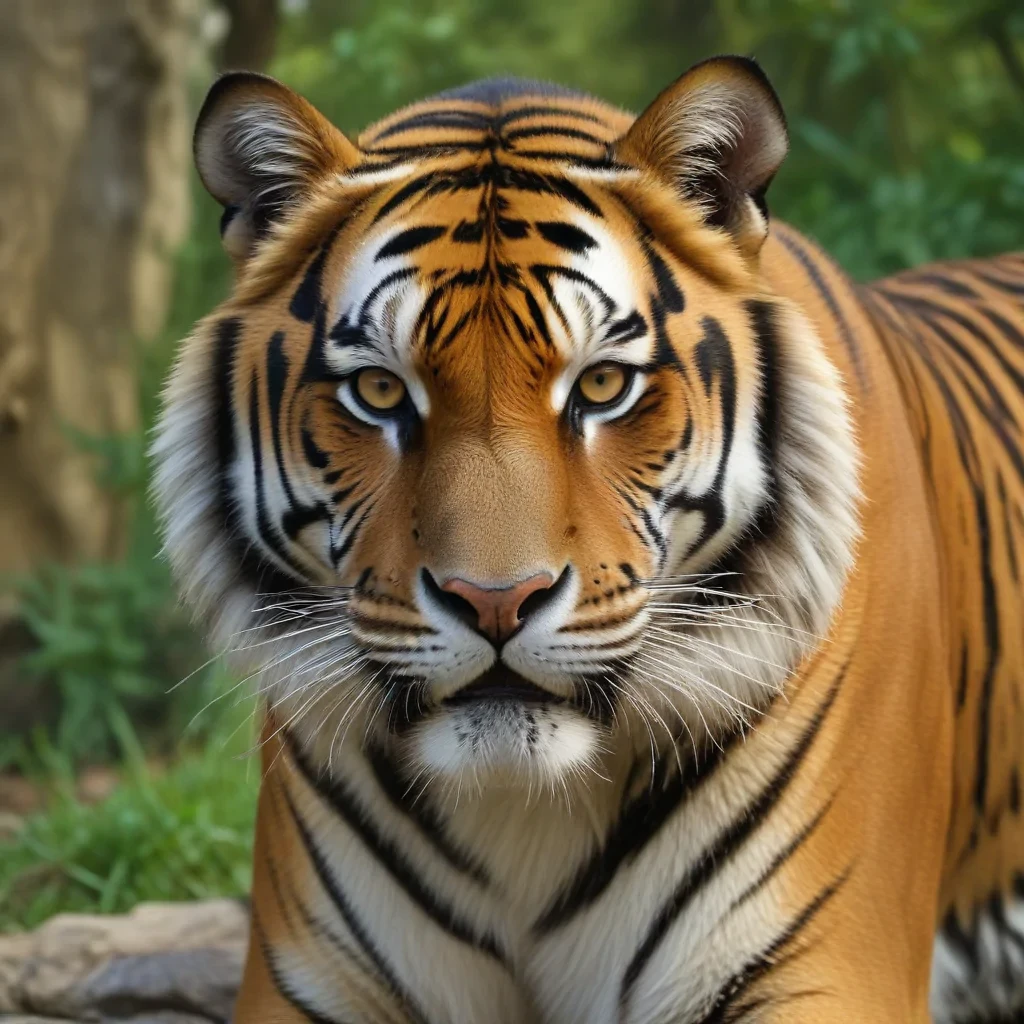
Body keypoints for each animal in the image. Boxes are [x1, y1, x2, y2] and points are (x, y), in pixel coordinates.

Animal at [151, 55, 1024, 1023]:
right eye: (379, 392)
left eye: (602, 385)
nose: (495, 602)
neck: (524, 816)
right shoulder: (305, 977)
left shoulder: (827, 968)